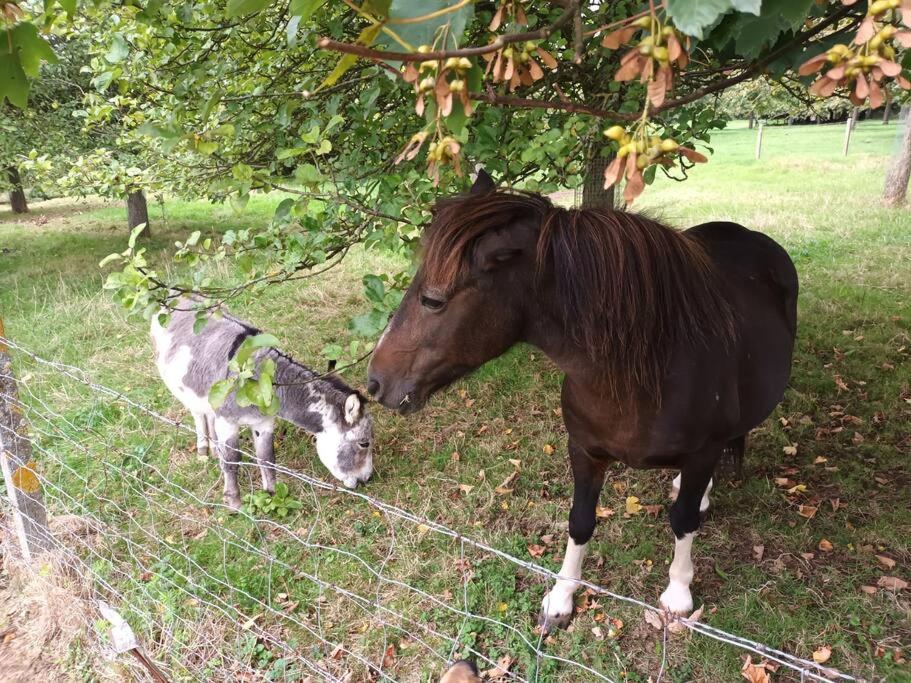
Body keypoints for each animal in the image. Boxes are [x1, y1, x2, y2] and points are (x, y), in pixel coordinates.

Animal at [366, 171, 796, 632]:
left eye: (433, 300)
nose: (374, 382)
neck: (643, 370)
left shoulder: (702, 452)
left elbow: (682, 522)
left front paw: (678, 595)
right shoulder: (584, 450)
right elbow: (580, 521)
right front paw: (562, 596)